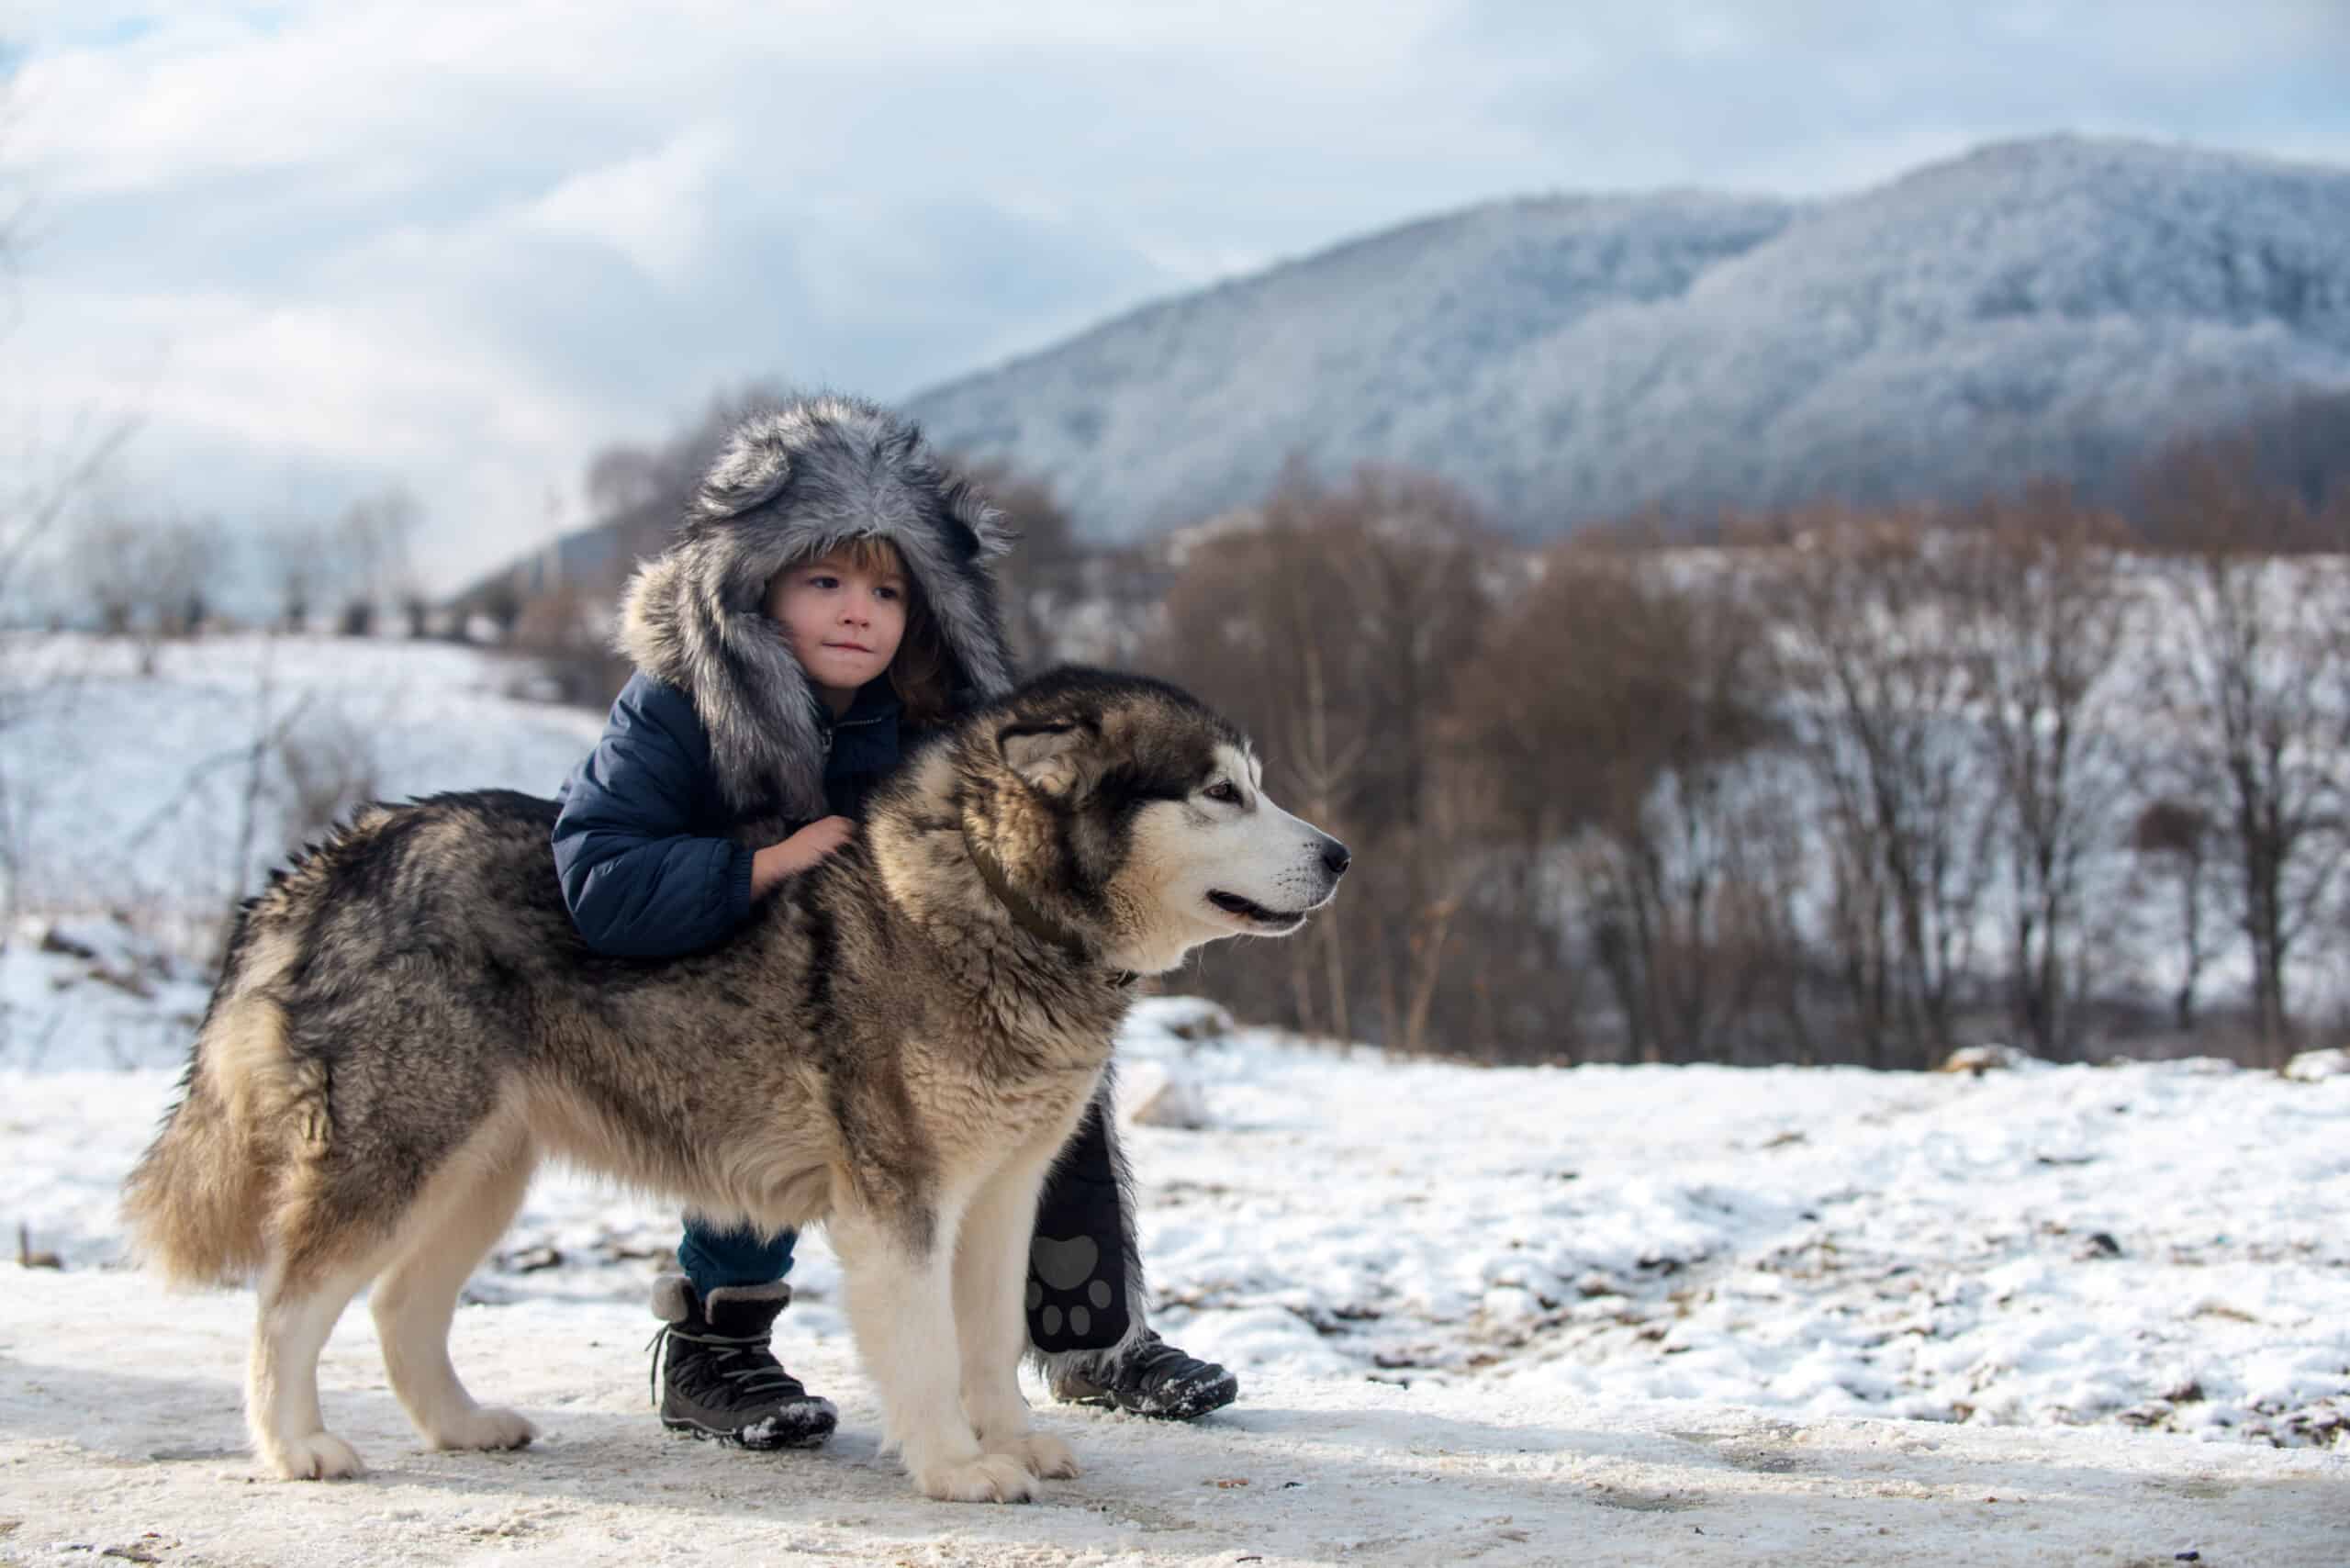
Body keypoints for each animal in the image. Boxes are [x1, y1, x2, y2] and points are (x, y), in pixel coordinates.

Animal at [118, 667, 1353, 1504]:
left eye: (1253, 786)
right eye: (1220, 792)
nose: (1339, 853)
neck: (994, 909)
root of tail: (340, 849)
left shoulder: (1004, 1196)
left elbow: (992, 1339)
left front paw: (1007, 1441)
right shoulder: (897, 1201)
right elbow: (924, 1351)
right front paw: (955, 1466)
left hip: (480, 1171)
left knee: (395, 1305)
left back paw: (460, 1423)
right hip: (399, 1154)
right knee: (287, 1302)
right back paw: (296, 1447)